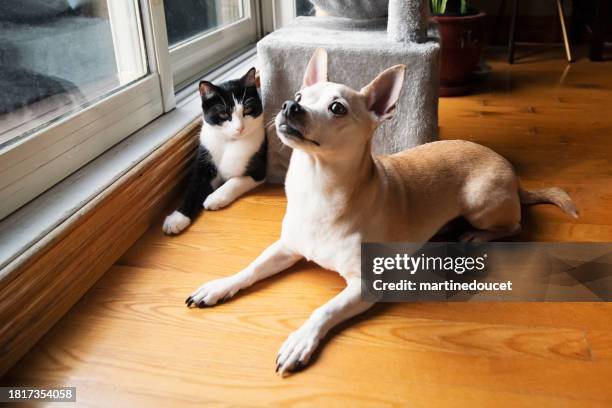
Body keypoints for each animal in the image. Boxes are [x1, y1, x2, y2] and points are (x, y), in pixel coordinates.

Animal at [163, 66, 266, 233]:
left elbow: (235, 180)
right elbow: (193, 187)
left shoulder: (259, 170)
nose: (239, 128)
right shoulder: (205, 156)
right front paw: (177, 218)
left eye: (247, 108)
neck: (229, 142)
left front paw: (214, 198)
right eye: (223, 113)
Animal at [184, 48, 576, 376]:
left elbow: (324, 308)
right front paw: (219, 286)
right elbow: (250, 268)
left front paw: (300, 340)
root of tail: (513, 174)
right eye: (298, 97)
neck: (317, 187)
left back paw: (473, 235)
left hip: (481, 202)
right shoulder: (285, 247)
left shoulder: (365, 285)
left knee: (514, 226)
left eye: (337, 108)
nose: (287, 107)